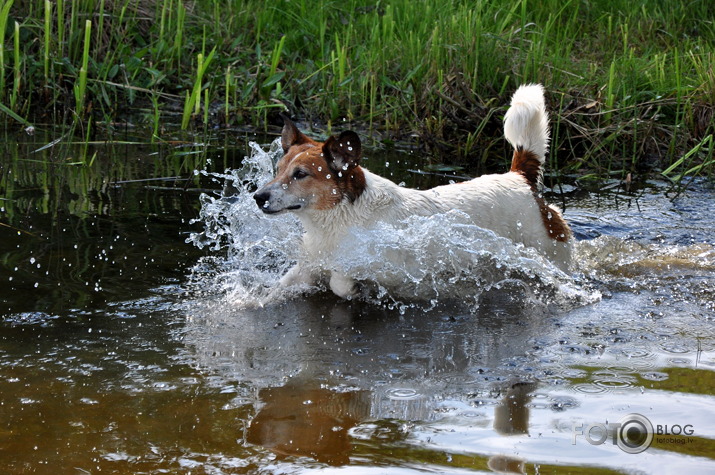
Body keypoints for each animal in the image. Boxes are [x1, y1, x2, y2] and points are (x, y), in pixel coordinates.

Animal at [255, 82, 572, 298]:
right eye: (278, 170)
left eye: (300, 174)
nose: (258, 197)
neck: (342, 216)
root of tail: (520, 178)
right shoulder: (307, 266)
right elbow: (278, 288)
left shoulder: (389, 267)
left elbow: (340, 282)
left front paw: (353, 288)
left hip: (551, 253)